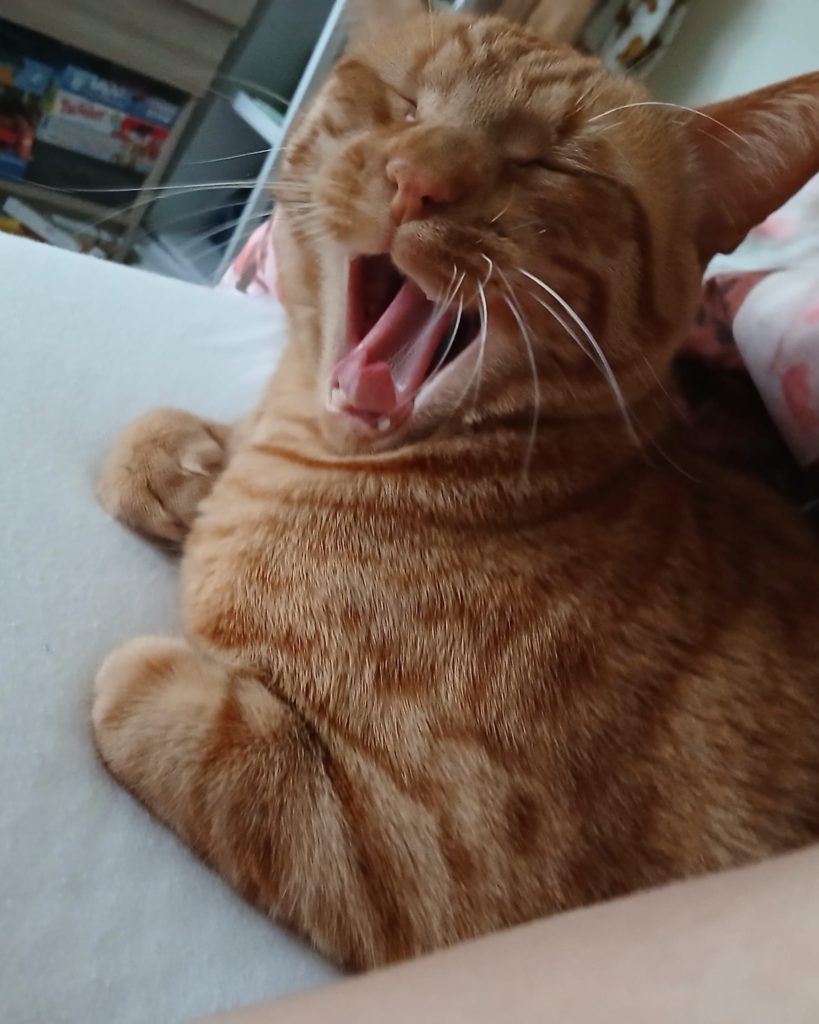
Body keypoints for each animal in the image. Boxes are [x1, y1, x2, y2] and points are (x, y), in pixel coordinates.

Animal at [93, 0, 819, 970]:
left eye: (551, 164)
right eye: (405, 103)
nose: (417, 181)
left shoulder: (421, 859)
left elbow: (193, 730)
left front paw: (158, 676)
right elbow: (168, 439)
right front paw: (179, 458)